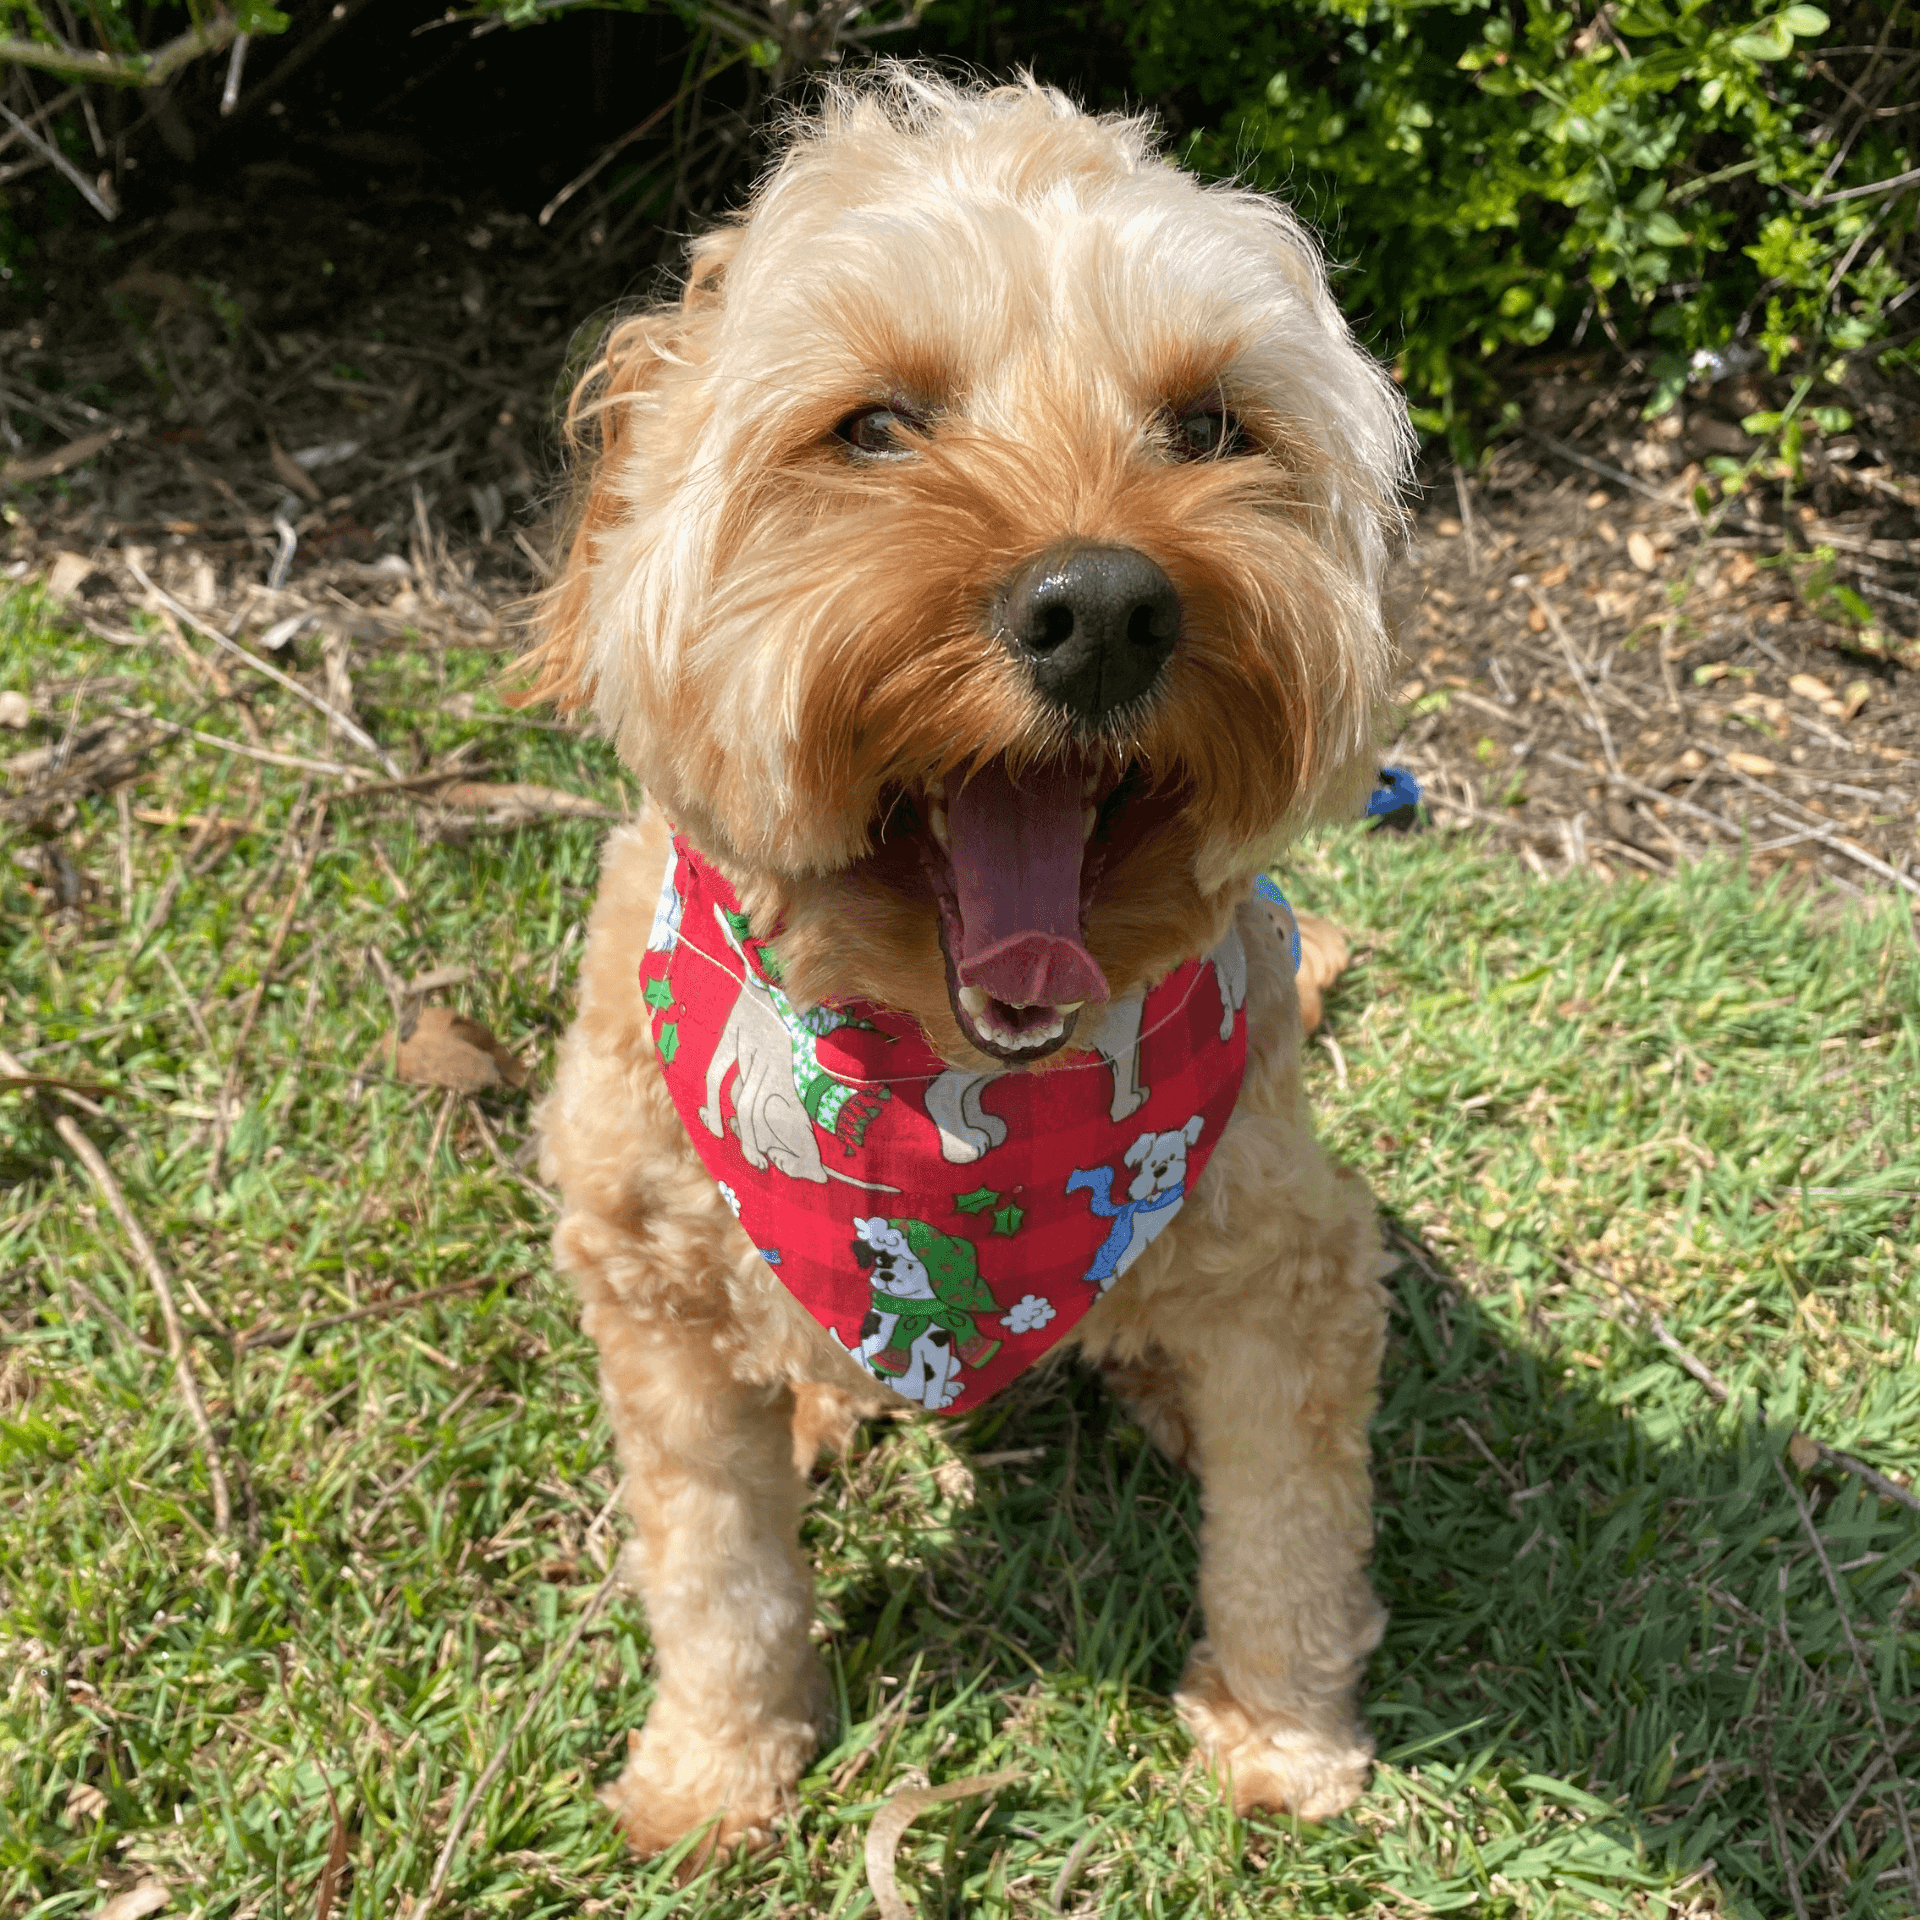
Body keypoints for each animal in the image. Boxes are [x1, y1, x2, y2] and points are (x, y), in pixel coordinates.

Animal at [522, 67, 1413, 1850]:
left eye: (1209, 426)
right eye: (874, 426)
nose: (1107, 607)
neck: (936, 1095)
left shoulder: (1296, 1269)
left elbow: (1292, 1534)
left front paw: (1284, 1739)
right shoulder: (650, 1295)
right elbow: (714, 1573)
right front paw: (715, 1771)